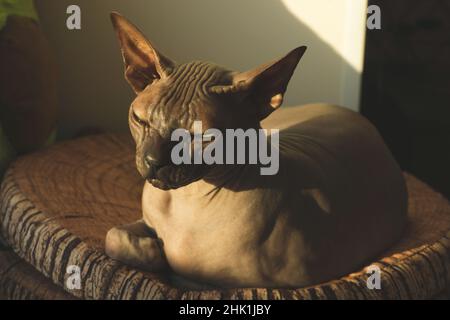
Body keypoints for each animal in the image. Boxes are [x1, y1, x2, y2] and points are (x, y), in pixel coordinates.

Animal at [106, 11, 408, 288]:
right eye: (140, 119)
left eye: (202, 137)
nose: (153, 161)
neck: (184, 201)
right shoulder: (144, 220)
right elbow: (112, 236)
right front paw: (151, 248)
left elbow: (184, 274)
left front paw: (158, 253)